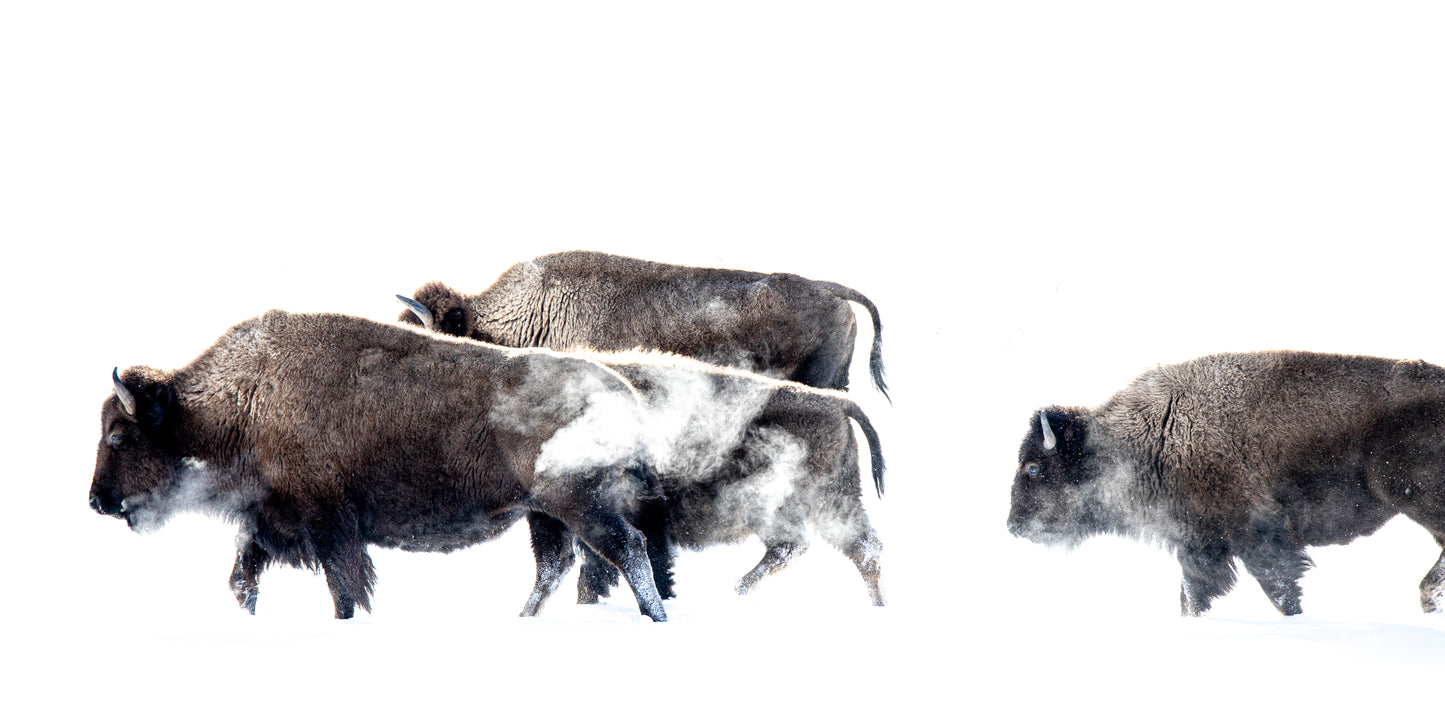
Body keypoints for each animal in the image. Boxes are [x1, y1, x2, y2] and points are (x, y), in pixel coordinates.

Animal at [89, 310, 668, 621]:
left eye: (118, 434)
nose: (96, 500)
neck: (246, 401)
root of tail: (623, 391)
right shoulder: (268, 523)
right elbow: (242, 580)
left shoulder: (329, 526)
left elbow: (344, 590)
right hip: (545, 513)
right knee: (556, 565)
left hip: (579, 505)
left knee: (627, 551)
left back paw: (655, 618)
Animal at [1008, 351, 1445, 616]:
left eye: (1033, 469)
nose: (1013, 525)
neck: (1154, 433)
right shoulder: (1200, 546)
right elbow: (1193, 595)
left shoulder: (1258, 539)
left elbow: (1280, 590)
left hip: (1409, 493)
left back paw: (1427, 600)